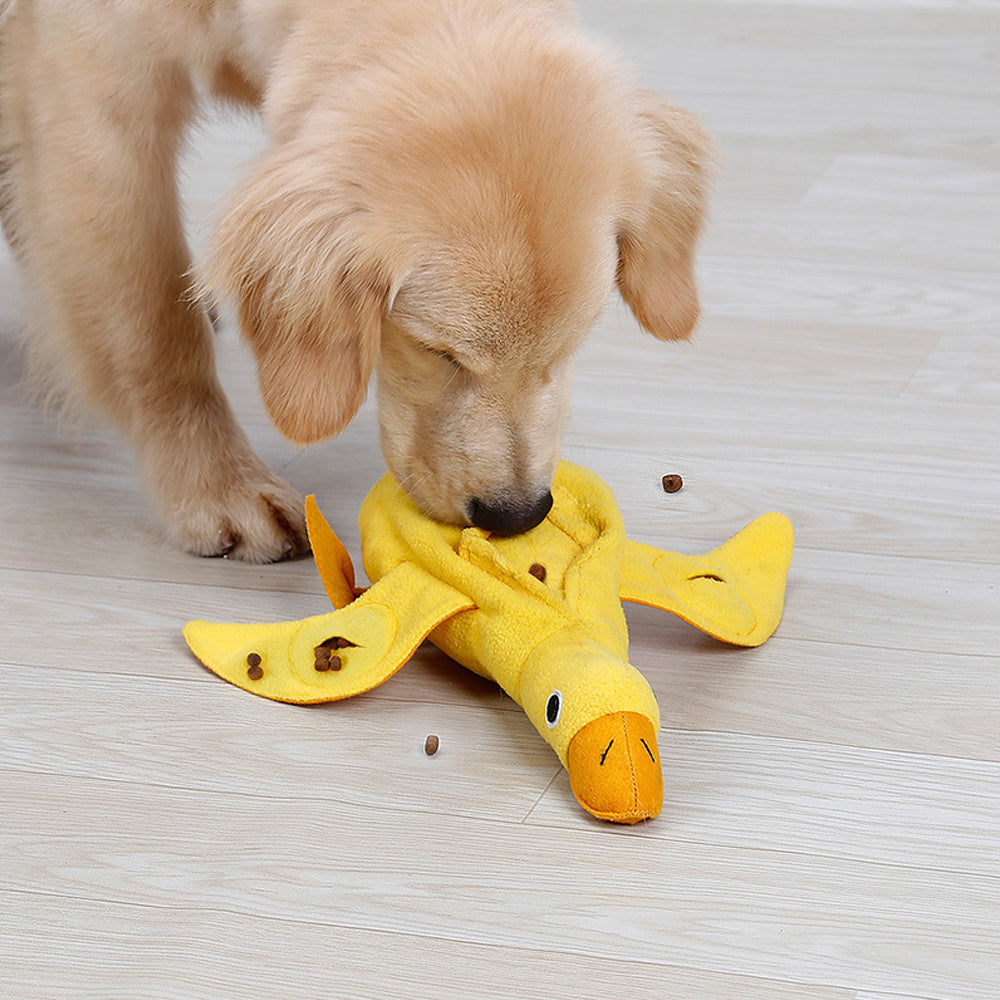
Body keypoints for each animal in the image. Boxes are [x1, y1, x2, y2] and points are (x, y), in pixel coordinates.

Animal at [0, 0, 712, 564]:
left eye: (571, 345)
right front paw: (216, 486)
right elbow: (154, 332)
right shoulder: (92, 96)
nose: (516, 517)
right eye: (436, 352)